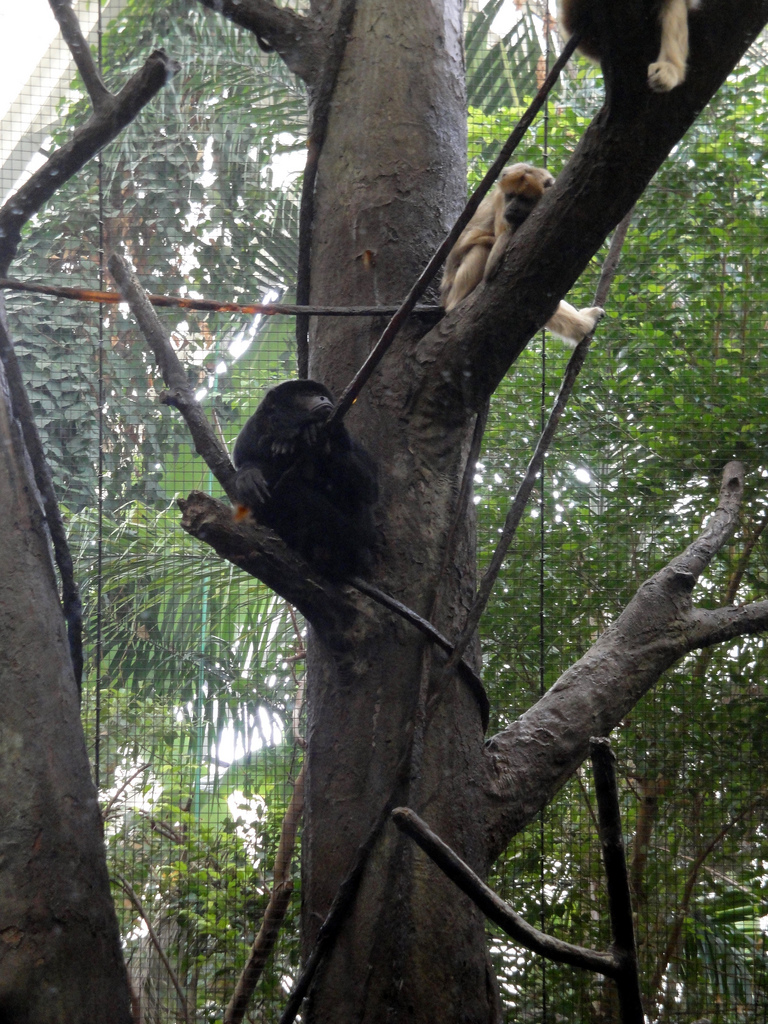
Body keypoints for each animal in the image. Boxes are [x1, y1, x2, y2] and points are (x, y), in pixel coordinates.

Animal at [232, 379, 378, 579]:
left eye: (318, 393)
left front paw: (317, 434)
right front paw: (248, 475)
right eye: (307, 394)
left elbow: (370, 488)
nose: (322, 397)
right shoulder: (249, 437)